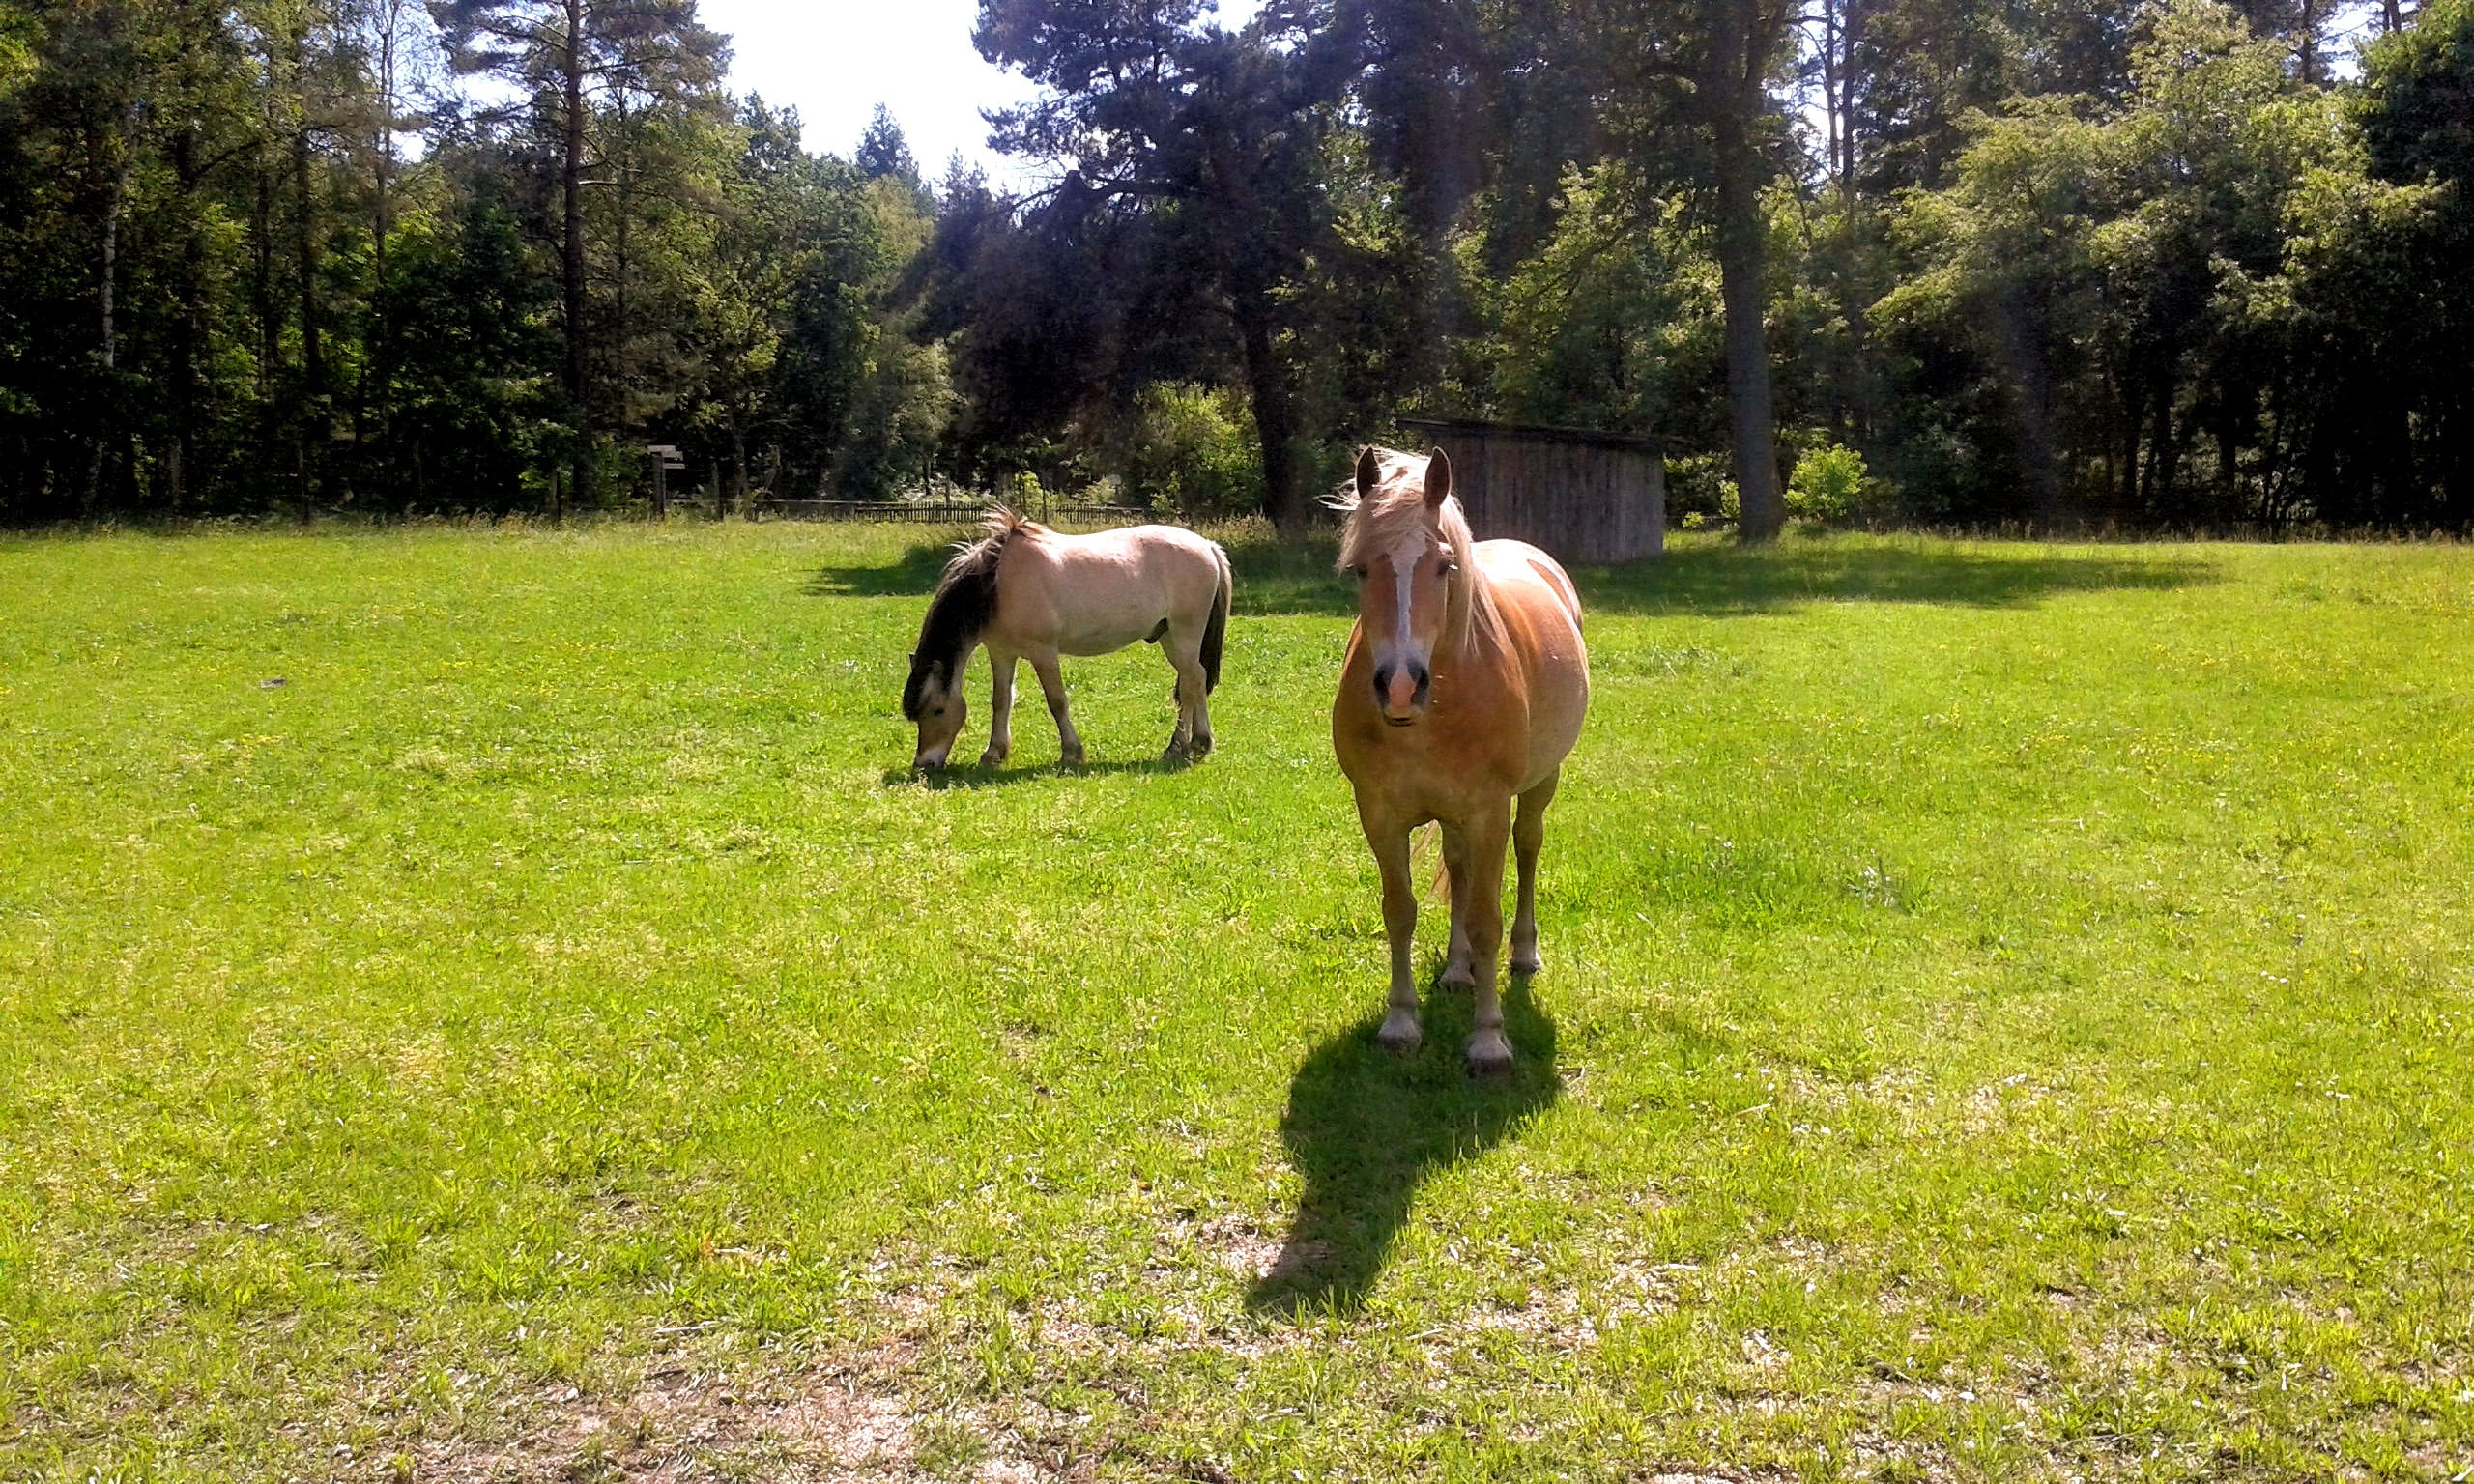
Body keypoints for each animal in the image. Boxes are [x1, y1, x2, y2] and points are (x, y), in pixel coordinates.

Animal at [905, 509, 1231, 771]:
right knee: (1196, 678)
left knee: (1190, 683)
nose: (924, 764)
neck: (996, 583)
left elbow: (1057, 701)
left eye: (937, 710)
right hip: (1169, 637)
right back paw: (1199, 742)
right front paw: (993, 753)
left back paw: (1181, 745)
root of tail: (1207, 546)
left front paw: (1071, 752)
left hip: (1184, 633)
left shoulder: (1044, 653)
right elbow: (1001, 701)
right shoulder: (1001, 653)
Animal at [1336, 444, 1583, 1073]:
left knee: (1528, 850)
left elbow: (1486, 918)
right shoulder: (1379, 813)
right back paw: (1455, 969)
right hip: (1453, 816)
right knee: (1460, 866)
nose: (1400, 687)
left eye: (1444, 567)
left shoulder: (1489, 811)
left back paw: (1524, 955)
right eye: (1360, 569)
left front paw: (1490, 1040)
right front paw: (1400, 1023)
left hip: (1538, 787)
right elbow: (1400, 909)